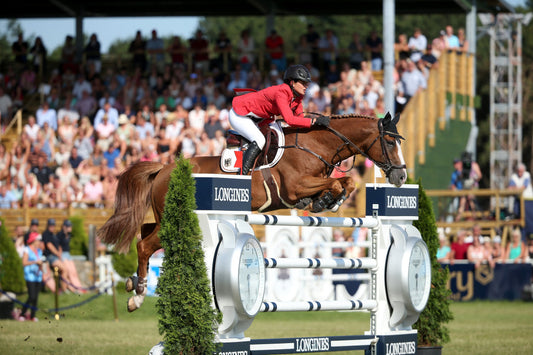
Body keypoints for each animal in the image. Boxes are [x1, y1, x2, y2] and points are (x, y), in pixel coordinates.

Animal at [95, 112, 406, 312]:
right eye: (390, 142)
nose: (401, 177)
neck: (315, 145)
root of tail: (163, 168)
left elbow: (348, 182)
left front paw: (328, 201)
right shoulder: (295, 187)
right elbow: (337, 183)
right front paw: (328, 199)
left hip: (164, 220)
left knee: (144, 234)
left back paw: (132, 284)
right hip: (174, 221)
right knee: (145, 245)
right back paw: (137, 296)